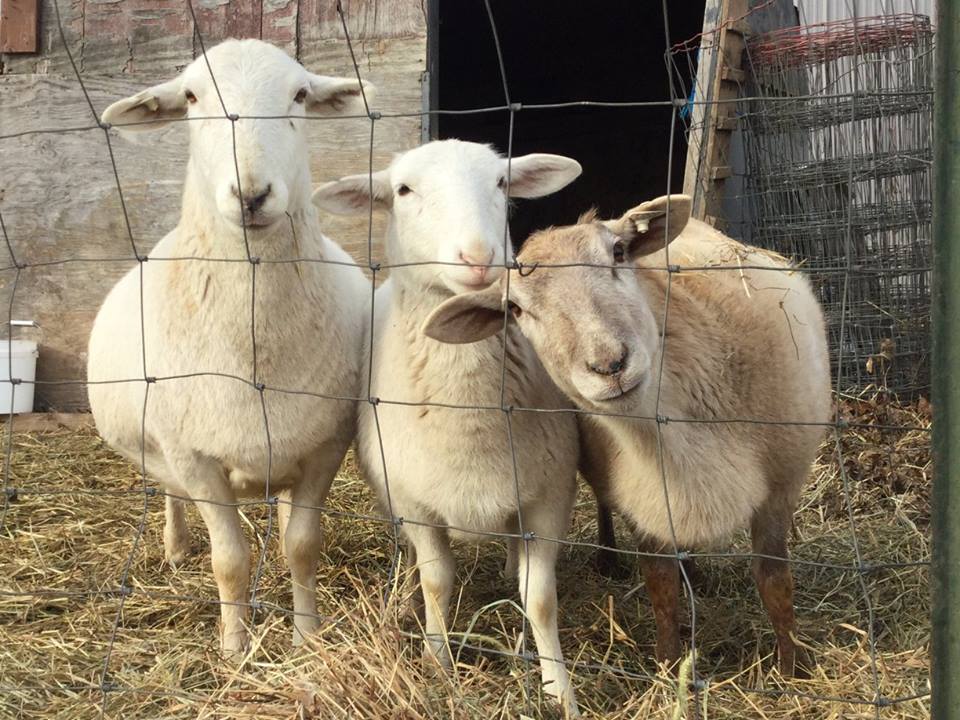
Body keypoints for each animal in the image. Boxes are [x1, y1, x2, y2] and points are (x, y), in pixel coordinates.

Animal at [86, 39, 372, 655]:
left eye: (300, 94)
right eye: (192, 97)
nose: (252, 194)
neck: (254, 347)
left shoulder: (325, 448)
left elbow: (302, 545)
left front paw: (306, 635)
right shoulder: (193, 458)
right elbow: (231, 560)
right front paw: (235, 646)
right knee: (166, 492)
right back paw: (175, 548)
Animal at [312, 139, 584, 716]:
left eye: (501, 183)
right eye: (402, 190)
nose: (479, 257)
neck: (471, 414)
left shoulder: (550, 495)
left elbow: (540, 598)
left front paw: (560, 689)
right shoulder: (416, 501)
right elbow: (438, 581)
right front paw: (437, 664)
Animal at [422, 194, 832, 676]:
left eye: (618, 252)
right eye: (516, 310)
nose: (609, 365)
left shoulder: (782, 482)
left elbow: (773, 579)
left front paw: (790, 668)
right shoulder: (644, 492)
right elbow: (659, 581)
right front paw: (669, 664)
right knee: (605, 504)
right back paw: (610, 559)